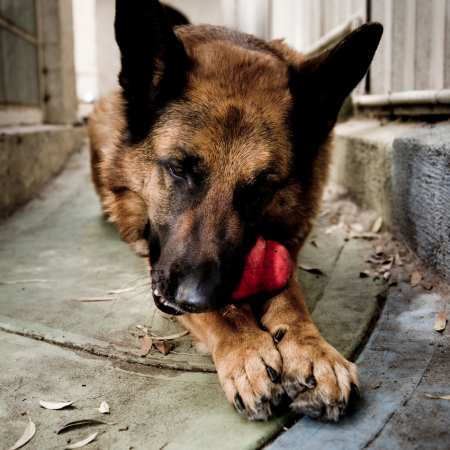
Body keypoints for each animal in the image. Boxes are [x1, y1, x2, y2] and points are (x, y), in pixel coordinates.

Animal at [89, 0, 384, 422]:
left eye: (260, 187)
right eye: (178, 168)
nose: (193, 297)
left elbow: (290, 299)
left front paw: (312, 351)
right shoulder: (159, 264)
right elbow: (222, 312)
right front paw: (246, 347)